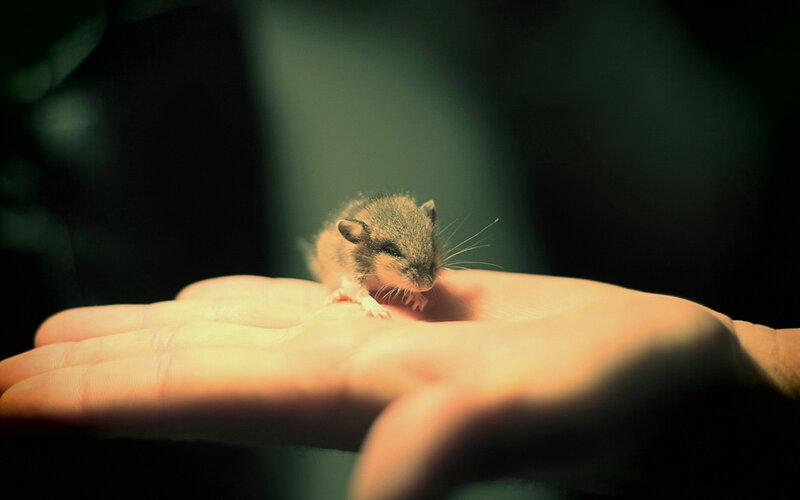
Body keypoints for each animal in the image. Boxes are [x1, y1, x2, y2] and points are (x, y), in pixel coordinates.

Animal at [308, 194, 441, 318]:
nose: (427, 286)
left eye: (432, 245)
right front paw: (379, 311)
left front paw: (419, 300)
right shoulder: (352, 276)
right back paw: (336, 295)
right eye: (391, 250)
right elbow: (361, 294)